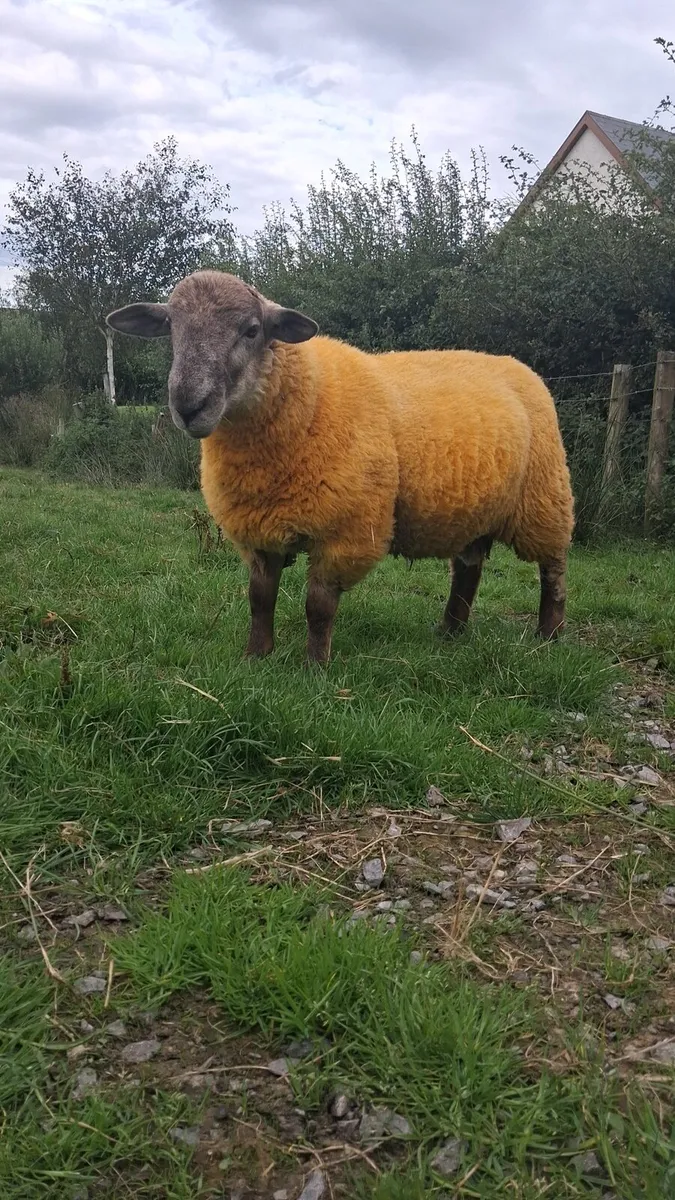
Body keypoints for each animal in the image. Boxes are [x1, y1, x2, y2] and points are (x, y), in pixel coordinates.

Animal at [107, 270, 574, 663]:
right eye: (171, 327)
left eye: (252, 330)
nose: (188, 406)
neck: (309, 397)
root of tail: (516, 365)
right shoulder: (258, 530)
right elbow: (259, 600)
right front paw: (256, 657)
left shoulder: (347, 531)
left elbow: (318, 607)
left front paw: (315, 667)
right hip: (475, 511)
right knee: (467, 569)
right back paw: (450, 631)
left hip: (545, 500)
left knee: (553, 572)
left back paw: (548, 637)